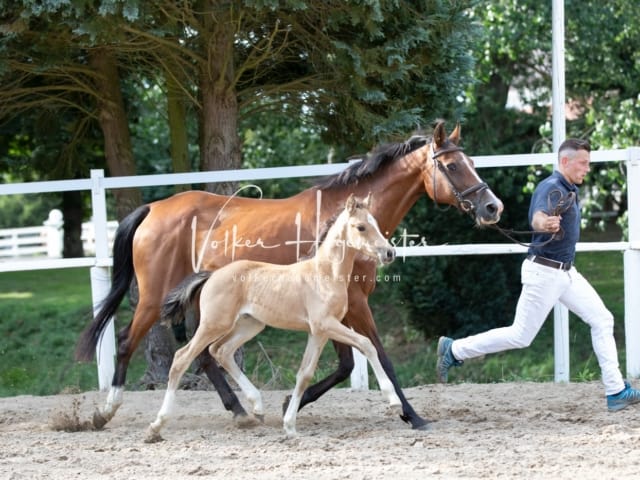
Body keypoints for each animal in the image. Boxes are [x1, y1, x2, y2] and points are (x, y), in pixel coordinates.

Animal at [146, 193, 396, 440]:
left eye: (376, 223)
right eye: (361, 227)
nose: (389, 253)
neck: (324, 274)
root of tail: (212, 275)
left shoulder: (319, 332)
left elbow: (304, 374)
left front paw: (290, 426)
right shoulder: (326, 325)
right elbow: (367, 344)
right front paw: (392, 400)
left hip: (250, 325)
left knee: (220, 350)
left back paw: (256, 406)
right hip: (214, 324)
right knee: (182, 358)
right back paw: (156, 426)